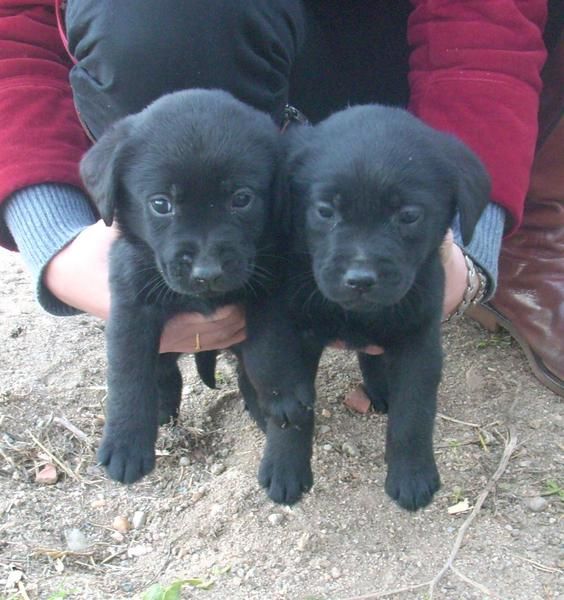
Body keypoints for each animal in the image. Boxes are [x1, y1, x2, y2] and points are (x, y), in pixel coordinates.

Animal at [80, 88, 284, 482]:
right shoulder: (130, 305)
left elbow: (263, 356)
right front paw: (126, 443)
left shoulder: (266, 291)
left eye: (241, 198)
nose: (207, 272)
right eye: (161, 204)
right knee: (163, 370)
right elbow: (129, 375)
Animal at [246, 104, 490, 510]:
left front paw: (412, 475)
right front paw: (284, 466)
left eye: (408, 215)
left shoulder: (419, 337)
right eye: (325, 211)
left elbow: (413, 414)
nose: (360, 279)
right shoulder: (283, 321)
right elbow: (287, 401)